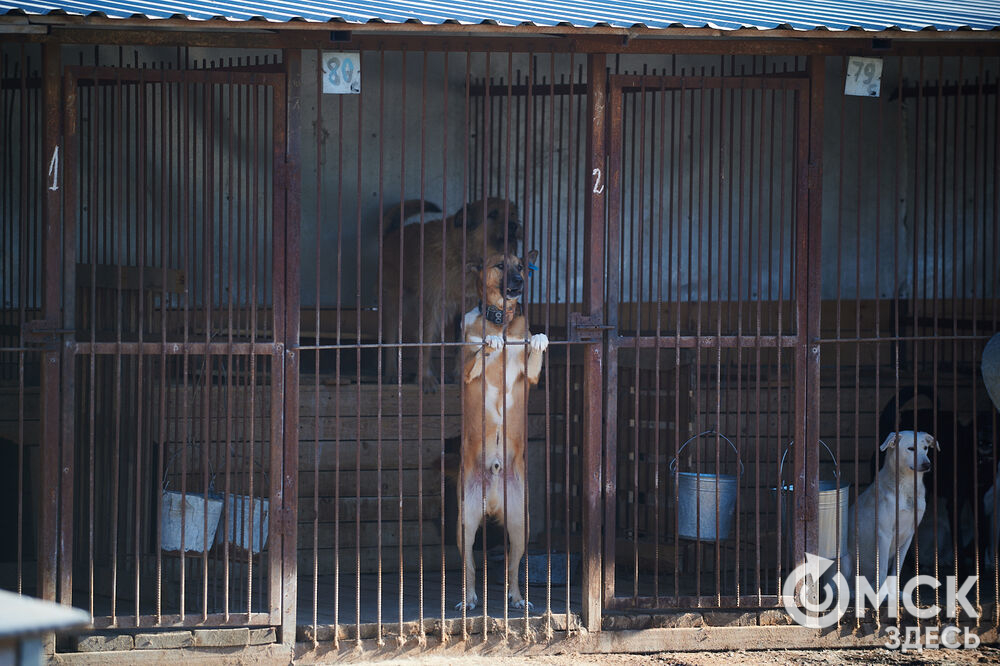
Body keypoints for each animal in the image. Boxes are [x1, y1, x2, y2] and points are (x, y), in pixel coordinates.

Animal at [380, 197, 524, 390]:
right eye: (492, 213)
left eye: (513, 213)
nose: (514, 225)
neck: (464, 255)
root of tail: (392, 234)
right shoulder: (432, 306)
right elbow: (426, 343)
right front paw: (425, 378)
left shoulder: (465, 310)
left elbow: (458, 345)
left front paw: (458, 375)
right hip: (394, 304)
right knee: (391, 339)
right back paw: (391, 374)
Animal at [458, 248, 548, 608]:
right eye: (500, 265)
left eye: (521, 265)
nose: (520, 282)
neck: (500, 319)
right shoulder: (465, 371)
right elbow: (479, 351)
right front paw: (491, 342)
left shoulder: (531, 376)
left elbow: (533, 348)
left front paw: (539, 338)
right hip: (465, 523)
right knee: (469, 566)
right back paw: (469, 599)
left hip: (521, 525)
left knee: (513, 566)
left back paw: (517, 598)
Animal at [844, 430, 936, 592]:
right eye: (911, 448)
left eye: (925, 448)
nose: (927, 464)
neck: (907, 488)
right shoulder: (884, 534)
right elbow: (882, 569)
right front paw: (881, 594)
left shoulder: (909, 535)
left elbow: (896, 570)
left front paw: (894, 593)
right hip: (845, 560)